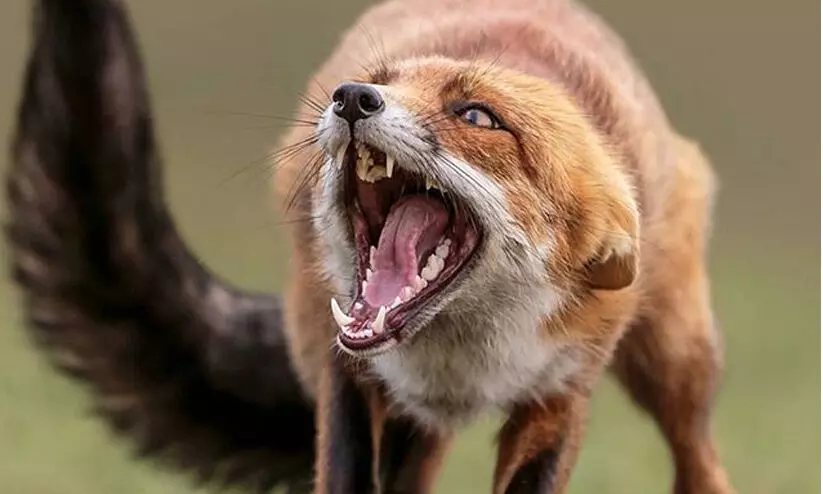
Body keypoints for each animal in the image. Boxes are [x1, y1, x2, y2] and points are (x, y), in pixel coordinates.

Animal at [6, 0, 735, 493]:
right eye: (380, 80)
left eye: (477, 116)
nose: (352, 98)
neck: (463, 361)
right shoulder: (352, 374)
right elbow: (349, 474)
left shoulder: (558, 394)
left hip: (676, 358)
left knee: (698, 457)